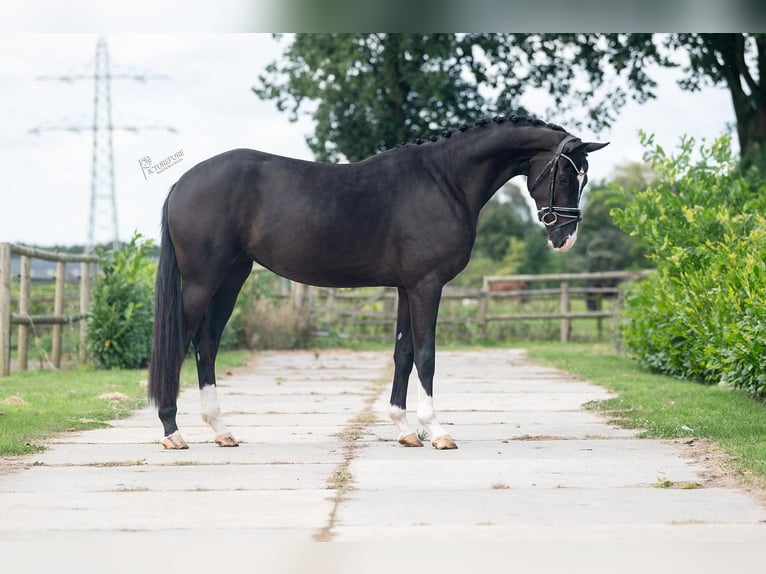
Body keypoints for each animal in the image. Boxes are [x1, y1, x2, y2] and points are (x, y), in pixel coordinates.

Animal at [147, 115, 608, 452]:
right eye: (565, 176)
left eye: (582, 178)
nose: (565, 238)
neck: (445, 181)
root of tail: (182, 181)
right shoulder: (427, 286)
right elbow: (427, 356)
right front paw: (436, 431)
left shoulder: (407, 288)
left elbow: (403, 353)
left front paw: (404, 430)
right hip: (203, 281)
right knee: (180, 341)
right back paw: (172, 431)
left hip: (232, 277)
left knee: (206, 343)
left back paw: (220, 430)